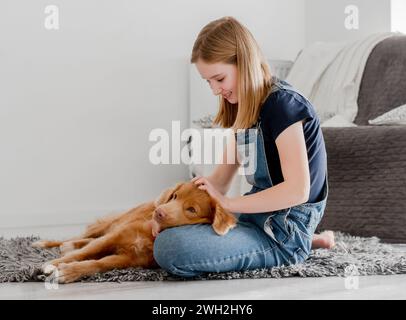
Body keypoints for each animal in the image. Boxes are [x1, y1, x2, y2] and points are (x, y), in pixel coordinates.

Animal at [32, 181, 238, 284]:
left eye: (191, 210)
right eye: (175, 196)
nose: (158, 212)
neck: (149, 235)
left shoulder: (128, 259)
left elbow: (98, 263)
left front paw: (67, 272)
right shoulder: (113, 237)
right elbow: (84, 253)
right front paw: (51, 264)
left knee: (84, 241)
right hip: (111, 223)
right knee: (82, 237)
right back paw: (45, 244)